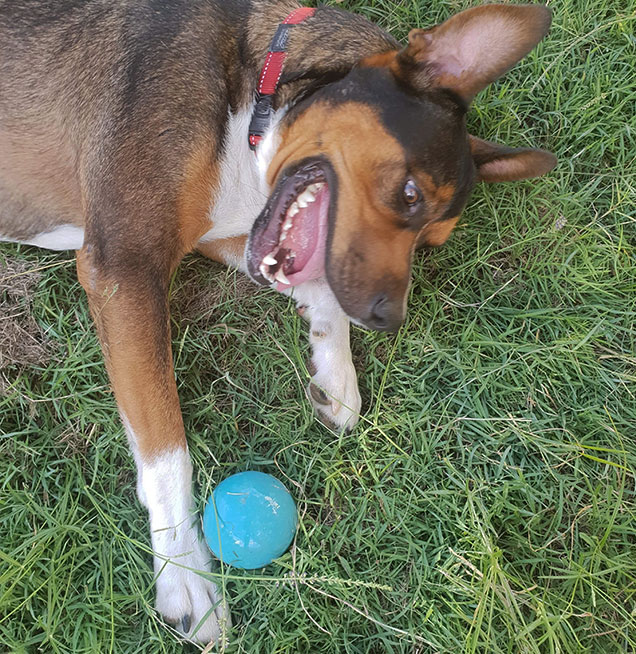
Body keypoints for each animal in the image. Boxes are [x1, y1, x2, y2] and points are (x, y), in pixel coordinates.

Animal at [0, 0, 556, 644]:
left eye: (432, 239)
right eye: (411, 194)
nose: (387, 318)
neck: (256, 81)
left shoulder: (223, 234)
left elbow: (319, 286)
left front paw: (335, 373)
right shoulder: (123, 266)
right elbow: (166, 447)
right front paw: (184, 570)